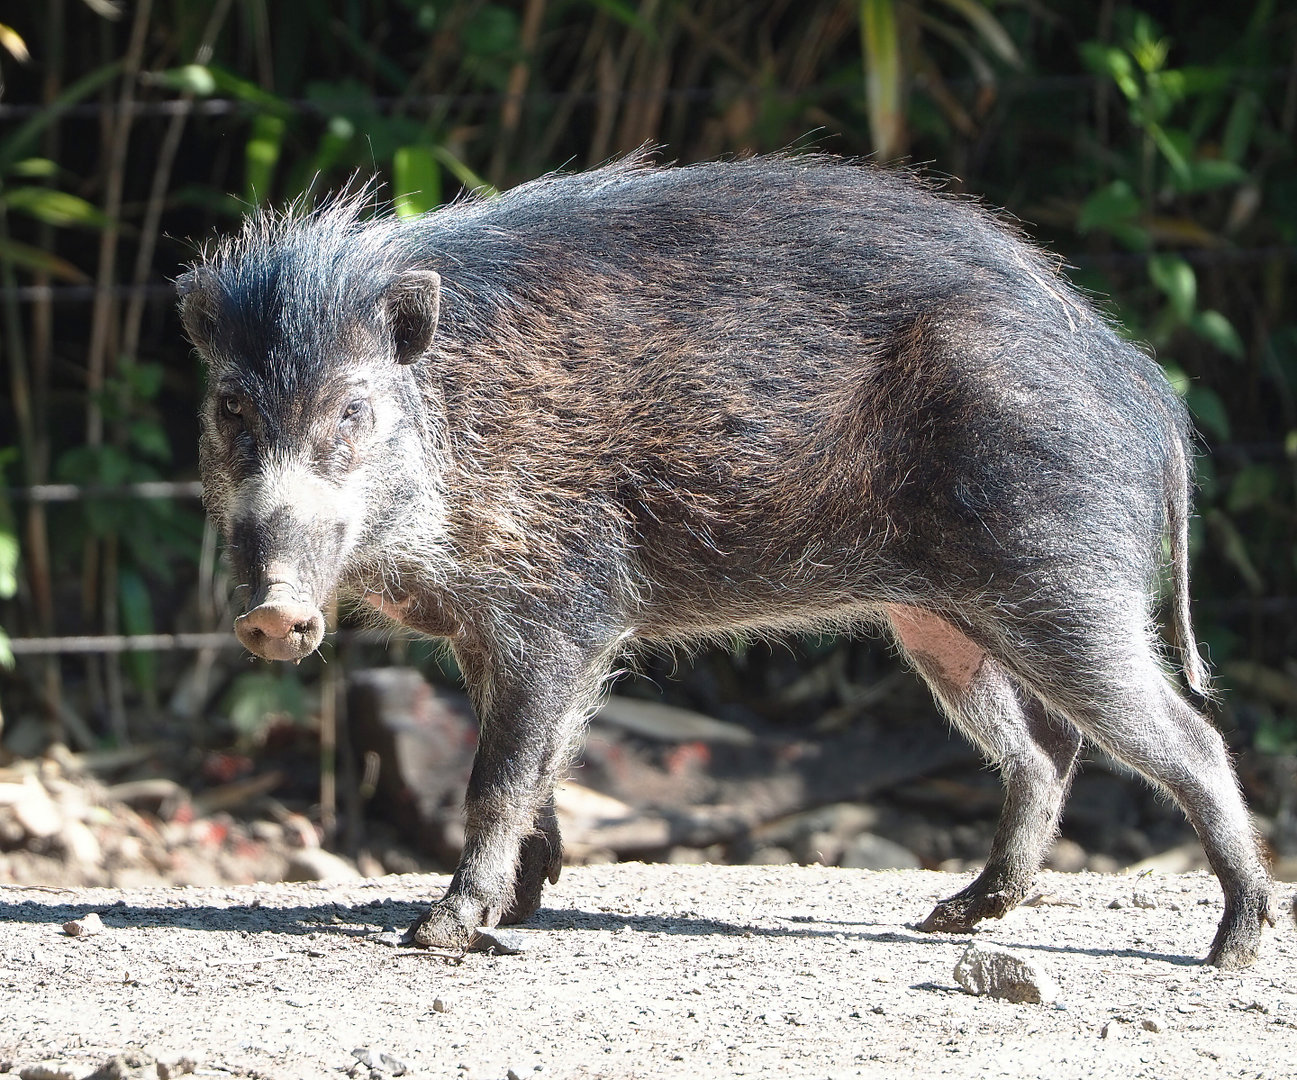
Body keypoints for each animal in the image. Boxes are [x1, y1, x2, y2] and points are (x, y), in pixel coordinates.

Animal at [178, 152, 1274, 968]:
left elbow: (498, 775)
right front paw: (523, 908)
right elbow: (535, 767)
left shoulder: (564, 604)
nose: (274, 614)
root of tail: (1142, 385)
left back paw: (1231, 946)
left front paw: (441, 932)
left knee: (1186, 737)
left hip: (1061, 581)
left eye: (352, 410)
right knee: (1041, 750)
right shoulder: (485, 634)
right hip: (936, 621)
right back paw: (950, 918)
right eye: (230, 407)